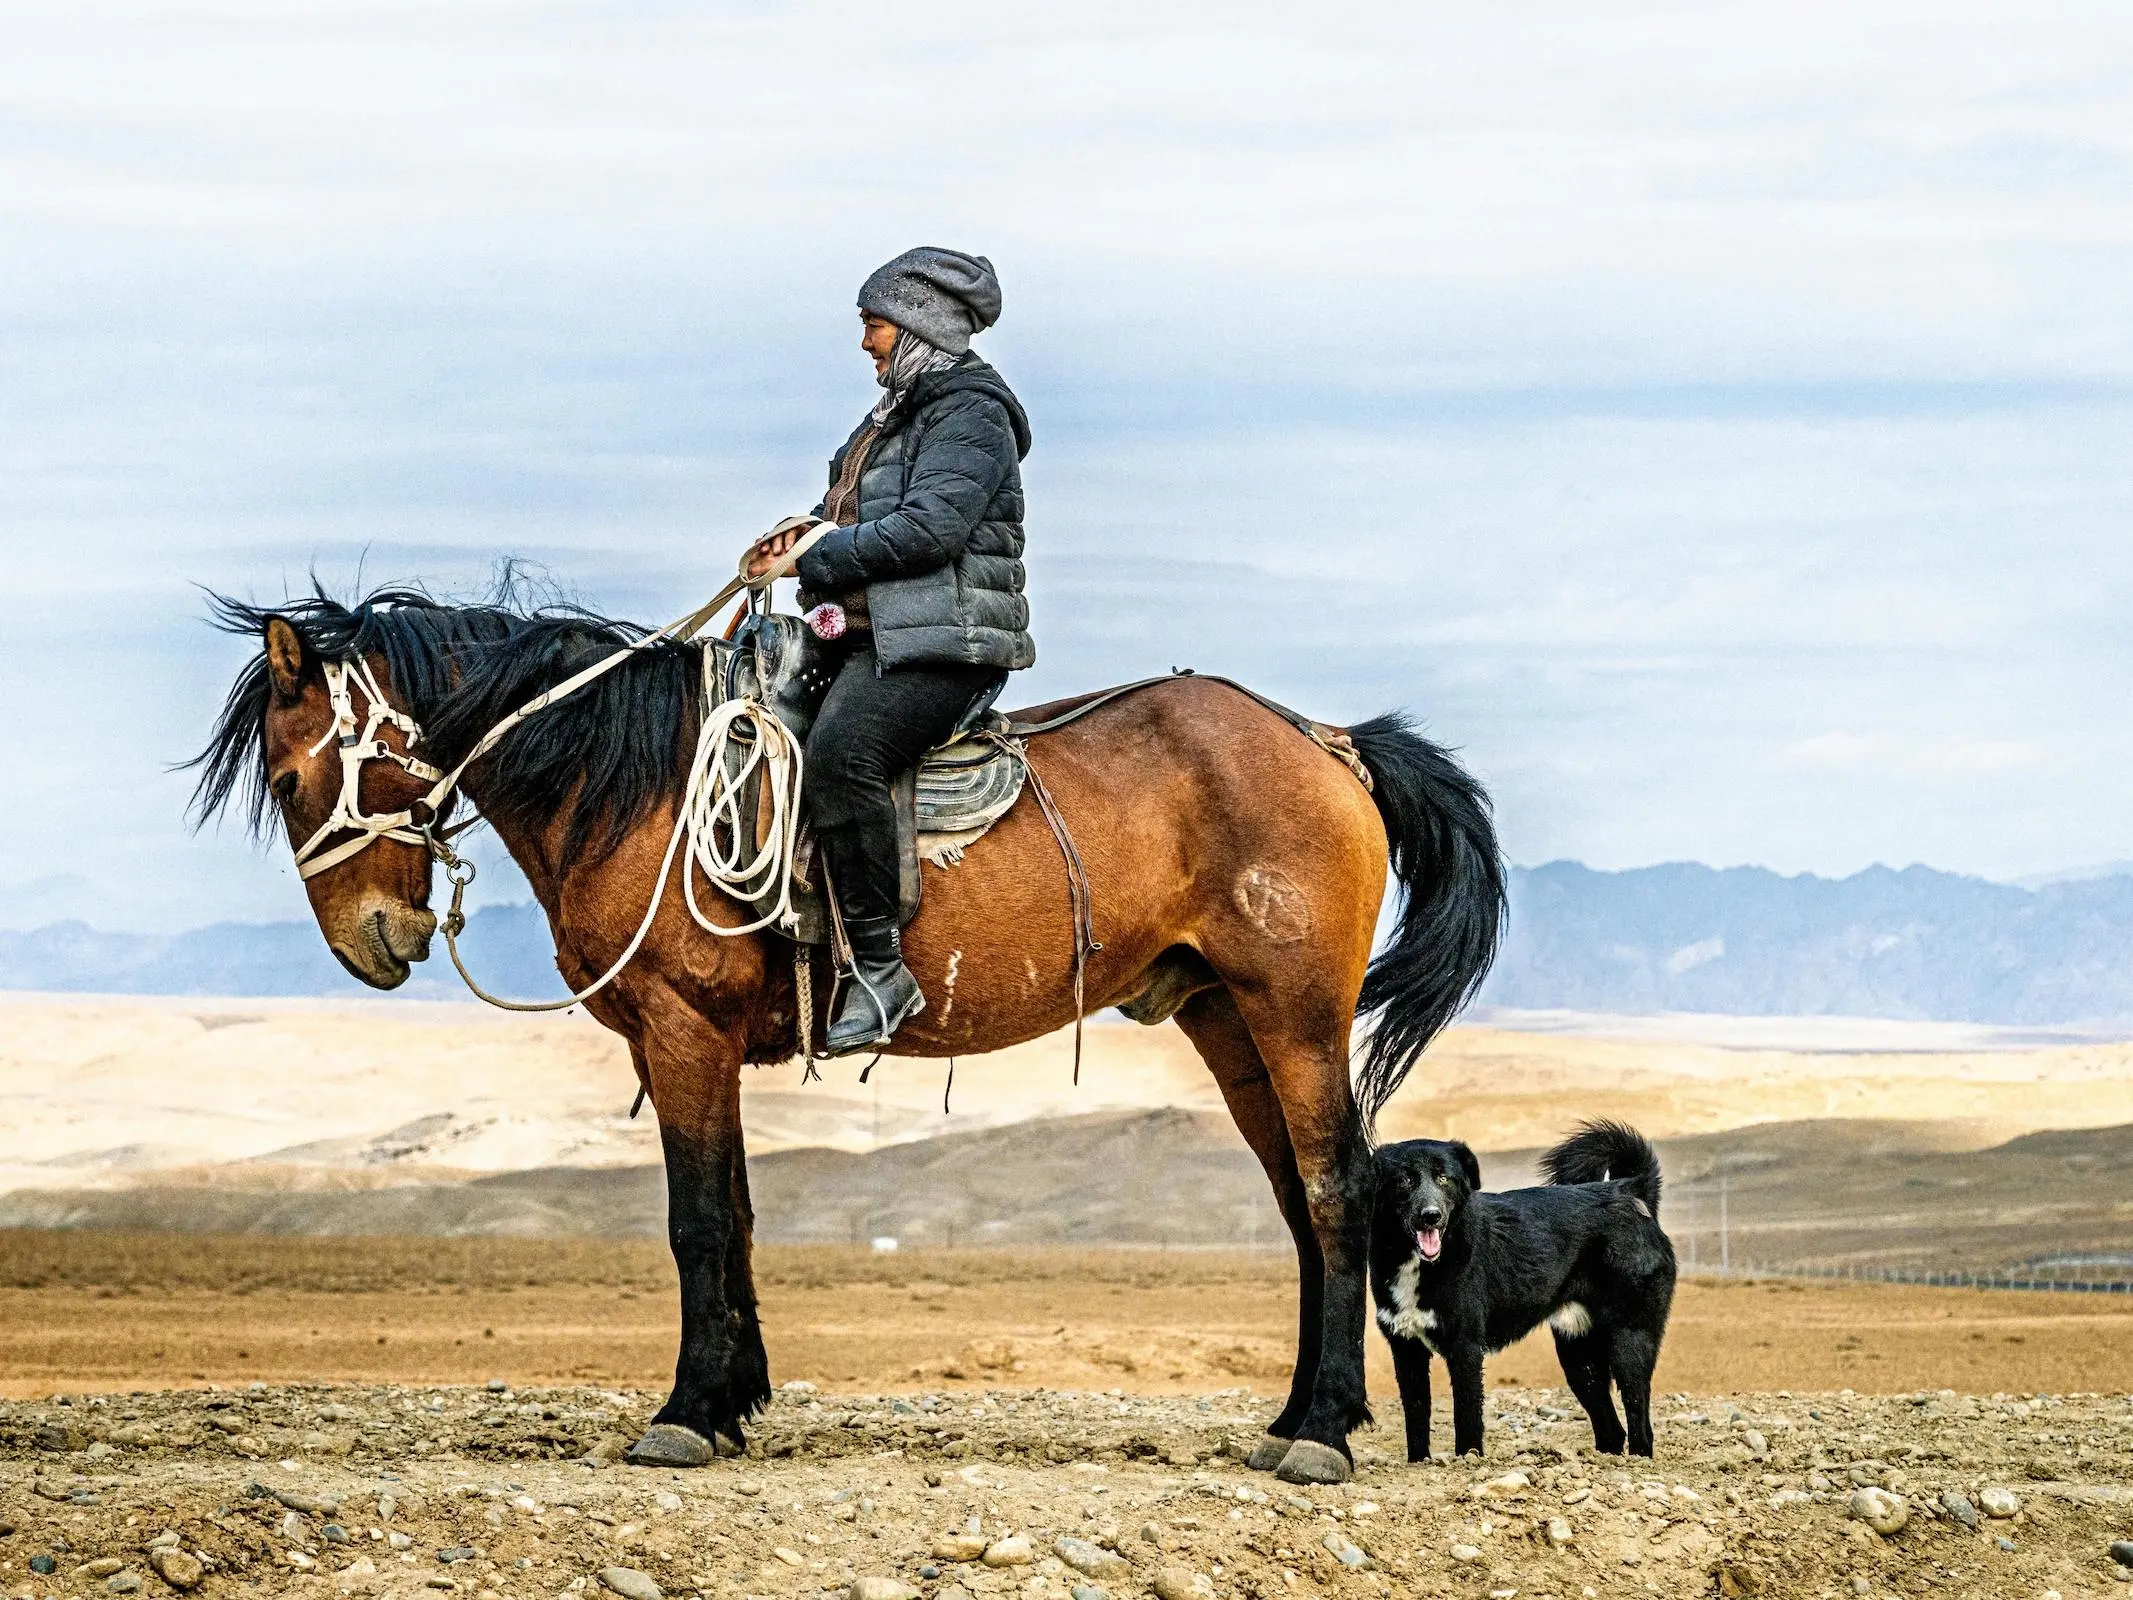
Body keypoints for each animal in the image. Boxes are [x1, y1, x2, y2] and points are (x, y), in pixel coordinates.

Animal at [196, 588, 1501, 1493]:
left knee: (1336, 1192)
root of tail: (1327, 740)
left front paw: (683, 1414)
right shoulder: (684, 1042)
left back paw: (1325, 1432)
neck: (637, 781)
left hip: (1295, 1013)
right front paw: (732, 1402)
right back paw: (1292, 1417)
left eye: (294, 773)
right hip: (1226, 1018)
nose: (375, 941)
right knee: (1298, 1200)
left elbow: (696, 1219)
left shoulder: (681, 1028)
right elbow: (734, 1211)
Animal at [1373, 1117, 1672, 1459]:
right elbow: (1416, 1418)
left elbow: (1467, 1417)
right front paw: (1419, 1463)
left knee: (1639, 1418)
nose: (1430, 1216)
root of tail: (1632, 1192)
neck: (1420, 1262)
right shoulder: (1405, 1349)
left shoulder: (1465, 1349)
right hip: (1578, 1354)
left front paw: (1468, 1461)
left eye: (1444, 1178)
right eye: (1405, 1180)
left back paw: (1638, 1461)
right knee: (1611, 1428)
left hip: (1629, 1341)